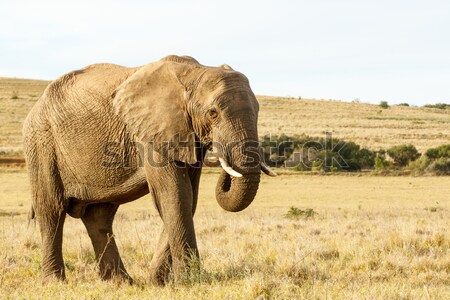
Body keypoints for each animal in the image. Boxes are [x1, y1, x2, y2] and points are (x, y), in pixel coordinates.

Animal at [22, 54, 276, 286]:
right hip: (42, 142)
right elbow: (174, 194)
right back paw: (55, 282)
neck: (195, 72)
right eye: (213, 113)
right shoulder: (152, 132)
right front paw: (189, 281)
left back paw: (121, 283)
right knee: (52, 210)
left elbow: (188, 198)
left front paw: (159, 282)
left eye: (258, 110)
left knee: (99, 216)